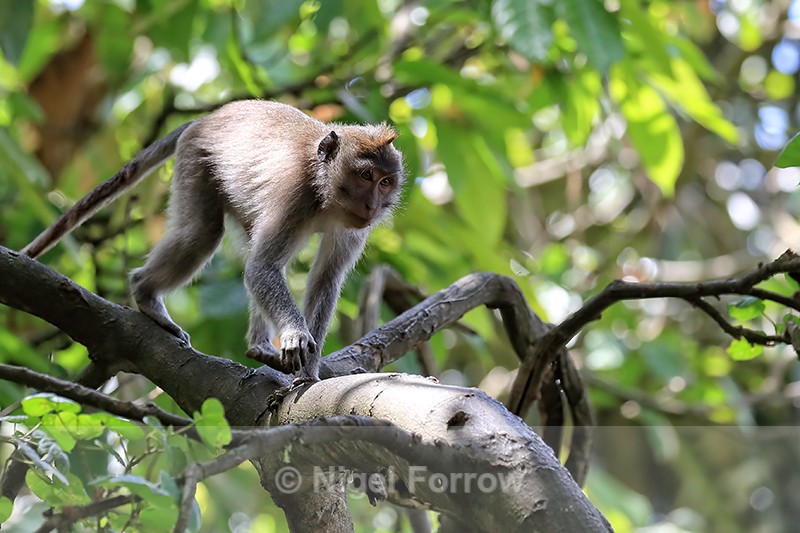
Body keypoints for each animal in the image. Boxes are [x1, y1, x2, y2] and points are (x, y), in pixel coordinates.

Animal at [22, 100, 405, 382]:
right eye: (366, 175)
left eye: (385, 182)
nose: (372, 205)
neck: (325, 193)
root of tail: (209, 117)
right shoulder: (295, 193)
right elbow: (263, 268)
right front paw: (296, 334)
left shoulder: (354, 226)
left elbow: (324, 280)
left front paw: (309, 373)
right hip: (197, 159)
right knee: (202, 234)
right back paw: (145, 293)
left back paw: (258, 347)